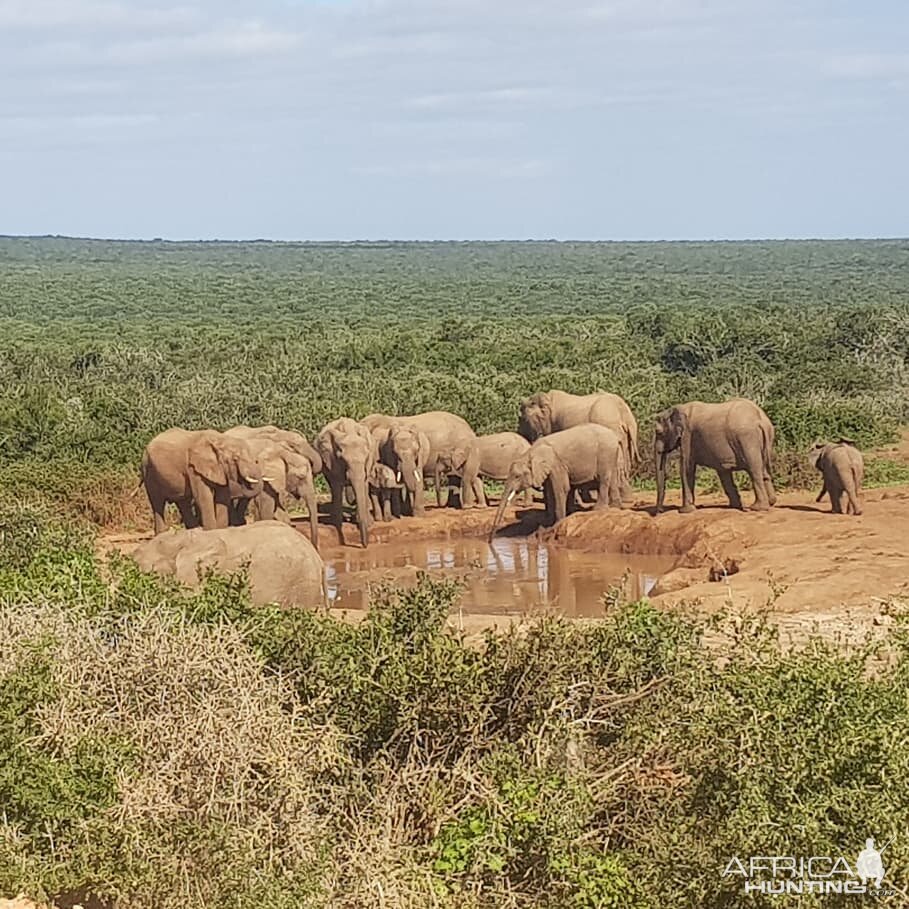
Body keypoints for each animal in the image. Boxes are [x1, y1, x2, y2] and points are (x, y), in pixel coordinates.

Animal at [316, 416, 380, 548]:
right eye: (343, 460)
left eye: (366, 457)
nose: (364, 546)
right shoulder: (332, 459)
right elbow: (337, 483)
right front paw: (336, 523)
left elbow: (364, 483)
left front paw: (368, 523)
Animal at [486, 422, 628, 536]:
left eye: (517, 476)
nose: (491, 539)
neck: (530, 453)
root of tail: (614, 435)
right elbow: (550, 491)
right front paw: (549, 523)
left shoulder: (556, 464)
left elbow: (561, 489)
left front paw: (558, 522)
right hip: (611, 453)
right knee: (612, 478)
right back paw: (615, 506)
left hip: (605, 452)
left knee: (603, 479)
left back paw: (598, 509)